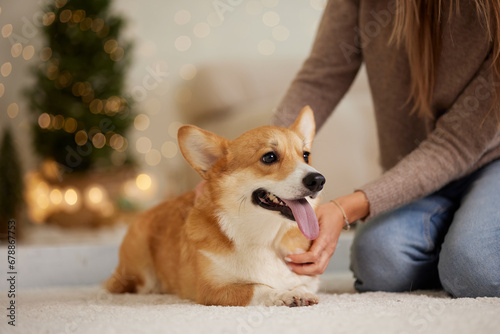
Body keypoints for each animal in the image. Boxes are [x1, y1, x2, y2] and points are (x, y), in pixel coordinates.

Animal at [106, 105, 326, 306]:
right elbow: (259, 287)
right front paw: (285, 295)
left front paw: (298, 291)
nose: (318, 180)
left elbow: (301, 284)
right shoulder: (212, 290)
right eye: (269, 157)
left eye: (305, 156)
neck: (266, 240)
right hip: (140, 273)